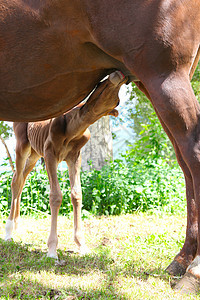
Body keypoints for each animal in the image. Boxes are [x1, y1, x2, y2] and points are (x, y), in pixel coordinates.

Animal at [4, 71, 126, 258]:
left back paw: (17, 225)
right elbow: (55, 195)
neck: (72, 131)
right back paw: (9, 231)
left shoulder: (74, 157)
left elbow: (76, 194)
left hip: (35, 153)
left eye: (117, 101)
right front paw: (52, 250)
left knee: (22, 178)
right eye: (101, 85)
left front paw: (81, 245)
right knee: (16, 181)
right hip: (22, 145)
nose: (119, 75)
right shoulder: (50, 154)